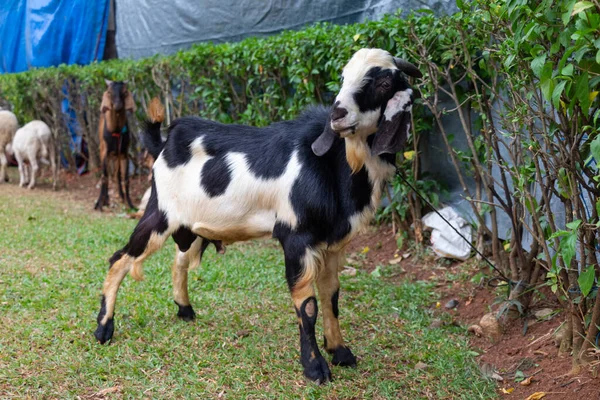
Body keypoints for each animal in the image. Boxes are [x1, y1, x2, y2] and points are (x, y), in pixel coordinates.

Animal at [95, 79, 136, 211]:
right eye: (109, 92)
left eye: (124, 92)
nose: (118, 106)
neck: (116, 130)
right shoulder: (105, 153)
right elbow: (104, 177)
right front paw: (100, 204)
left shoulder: (124, 154)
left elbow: (125, 179)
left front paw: (130, 204)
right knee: (107, 175)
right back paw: (105, 200)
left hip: (116, 155)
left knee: (117, 174)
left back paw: (121, 196)